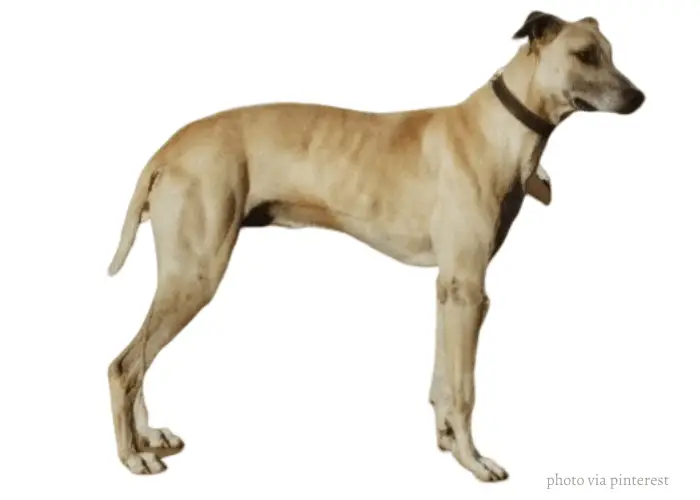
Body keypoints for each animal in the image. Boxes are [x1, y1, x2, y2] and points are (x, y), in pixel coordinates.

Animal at [105, 11, 644, 480]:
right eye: (585, 54)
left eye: (611, 53)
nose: (639, 97)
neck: (498, 129)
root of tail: (168, 149)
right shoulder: (469, 288)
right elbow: (464, 389)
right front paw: (474, 462)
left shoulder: (450, 289)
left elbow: (442, 382)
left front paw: (447, 441)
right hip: (196, 274)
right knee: (124, 365)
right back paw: (133, 457)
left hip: (181, 274)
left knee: (140, 362)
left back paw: (148, 436)